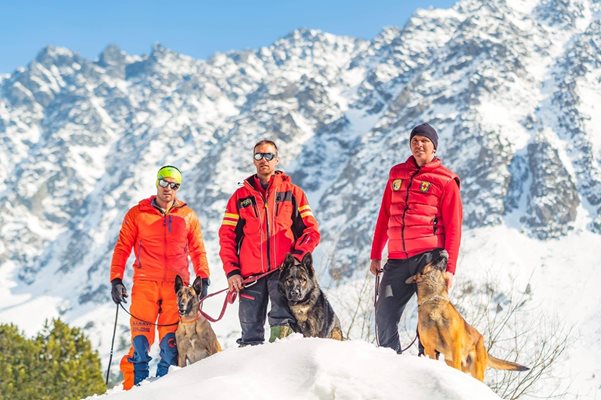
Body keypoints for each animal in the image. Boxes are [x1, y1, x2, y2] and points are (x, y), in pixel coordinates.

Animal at [406, 250, 528, 382]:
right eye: (430, 260)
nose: (444, 250)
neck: (434, 300)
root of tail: (482, 342)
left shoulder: (455, 345)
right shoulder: (429, 348)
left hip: (476, 369)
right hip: (452, 361)